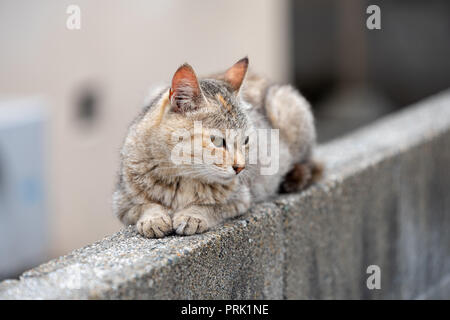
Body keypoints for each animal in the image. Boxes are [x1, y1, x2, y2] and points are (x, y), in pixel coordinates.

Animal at [114, 57, 322, 238]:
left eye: (246, 140)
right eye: (217, 141)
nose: (240, 168)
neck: (183, 178)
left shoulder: (240, 198)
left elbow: (214, 206)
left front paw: (193, 215)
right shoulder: (122, 201)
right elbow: (144, 204)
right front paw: (153, 218)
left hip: (286, 105)